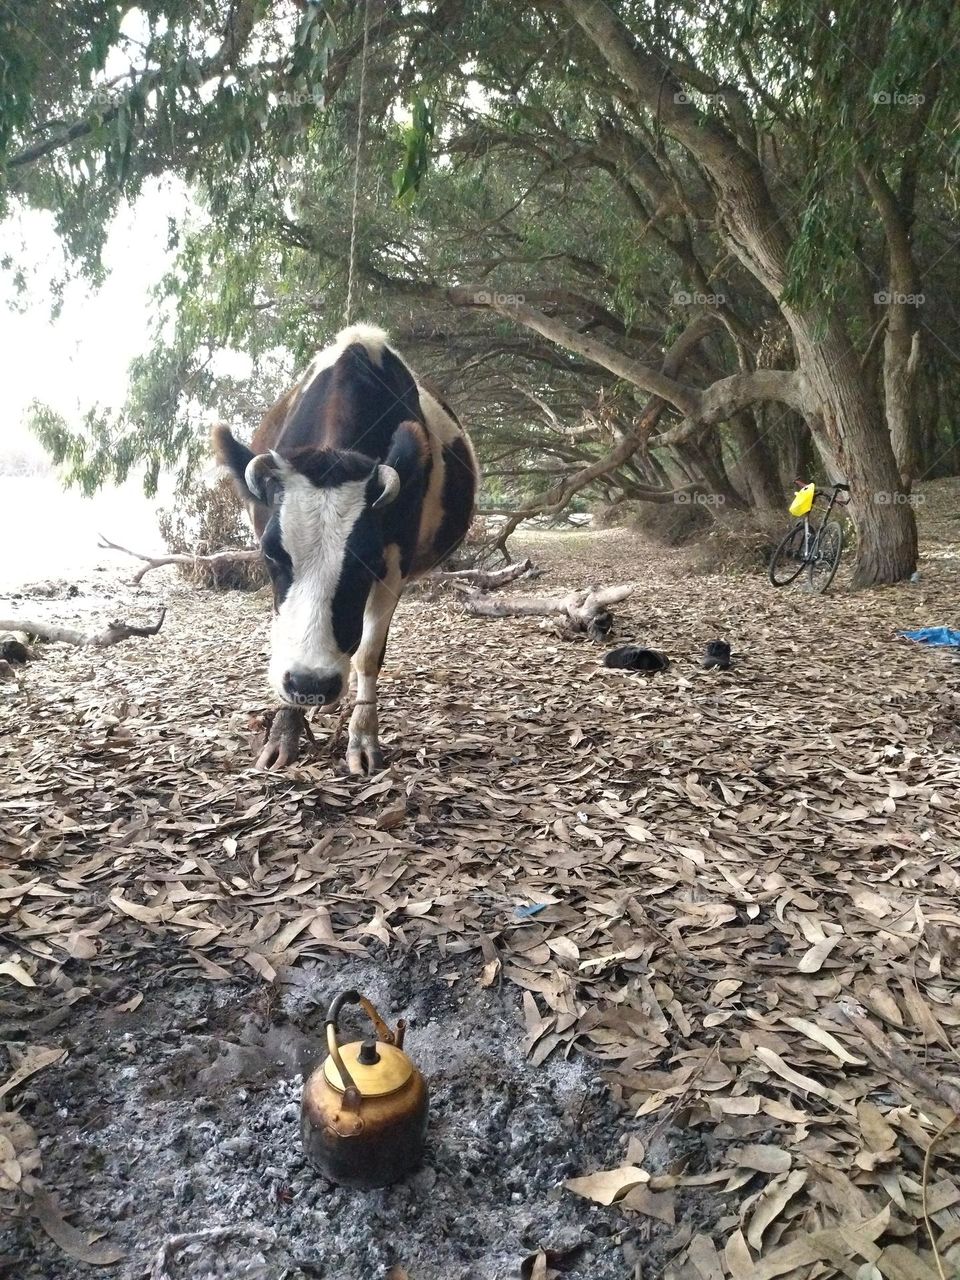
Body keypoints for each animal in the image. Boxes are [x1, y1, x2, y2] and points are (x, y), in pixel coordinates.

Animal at [212, 325, 478, 773]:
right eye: (271, 554)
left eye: (367, 559)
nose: (311, 684)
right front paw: (284, 732)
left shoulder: (394, 564)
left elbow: (369, 654)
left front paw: (363, 738)